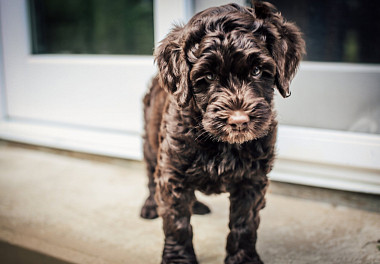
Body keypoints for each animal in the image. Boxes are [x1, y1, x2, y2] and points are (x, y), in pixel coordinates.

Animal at [141, 1, 304, 262]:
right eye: (208, 76)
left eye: (257, 71)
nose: (238, 121)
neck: (220, 143)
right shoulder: (173, 170)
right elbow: (177, 222)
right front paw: (178, 259)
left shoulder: (252, 179)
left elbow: (245, 223)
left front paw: (243, 258)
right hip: (149, 138)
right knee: (149, 175)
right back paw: (149, 206)